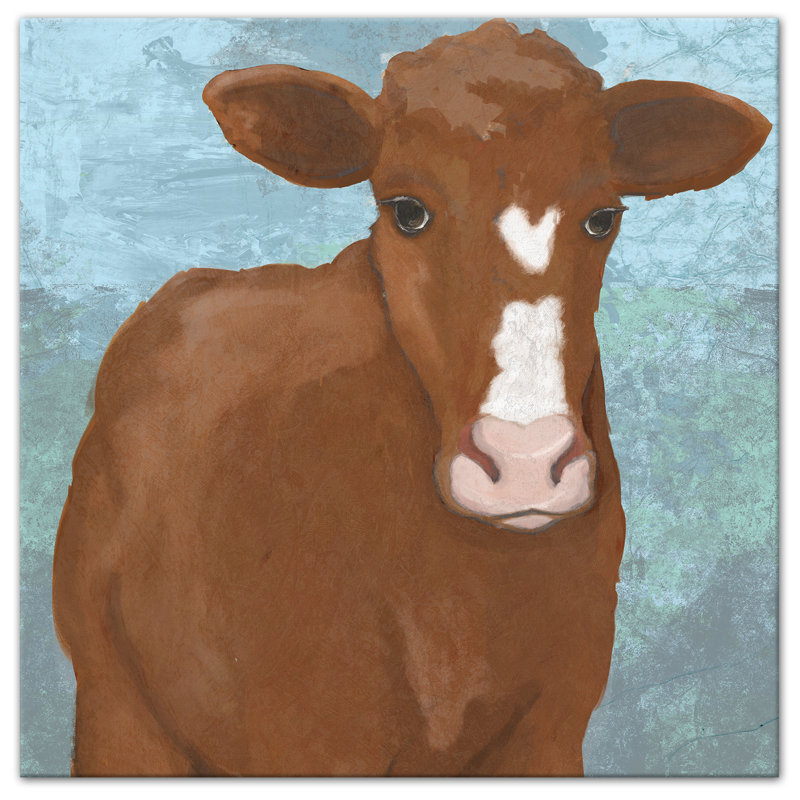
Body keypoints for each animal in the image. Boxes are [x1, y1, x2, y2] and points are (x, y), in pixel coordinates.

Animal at [51, 19, 771, 776]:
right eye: (407, 211)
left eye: (603, 217)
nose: (524, 462)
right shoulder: (308, 736)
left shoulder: (552, 729)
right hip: (116, 702)